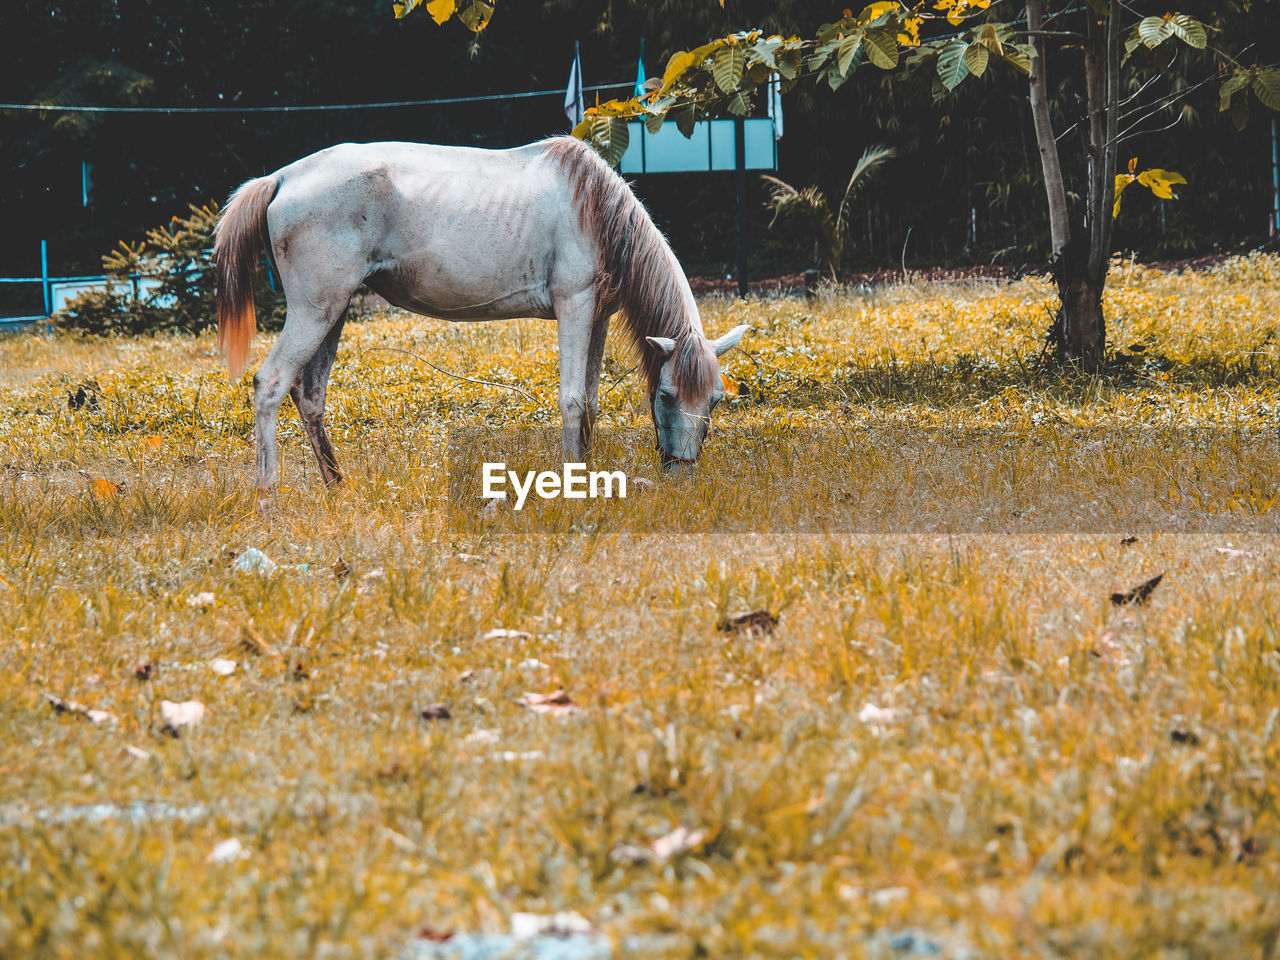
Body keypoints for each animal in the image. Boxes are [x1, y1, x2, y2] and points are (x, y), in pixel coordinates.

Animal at [213, 135, 747, 488]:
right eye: (668, 395)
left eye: (716, 400)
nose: (683, 474)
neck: (595, 209)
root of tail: (283, 178)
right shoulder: (575, 306)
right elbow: (573, 400)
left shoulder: (598, 316)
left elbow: (592, 402)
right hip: (315, 310)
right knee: (270, 383)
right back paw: (268, 493)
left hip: (334, 311)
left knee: (309, 395)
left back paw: (338, 485)